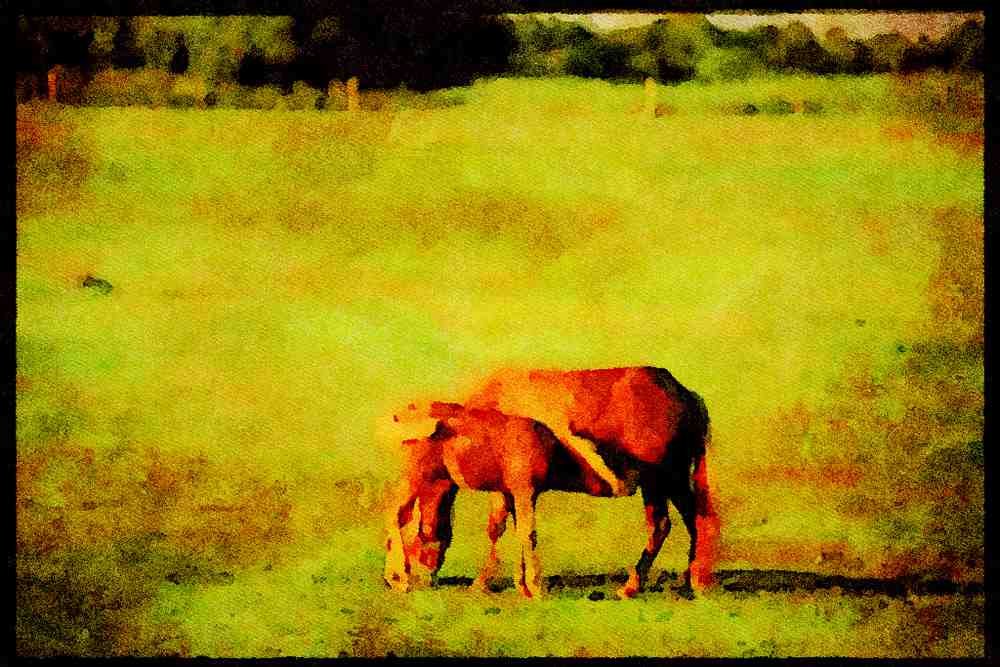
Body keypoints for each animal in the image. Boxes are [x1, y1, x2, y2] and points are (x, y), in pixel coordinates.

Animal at [387, 366, 719, 598]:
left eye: (416, 538)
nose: (424, 577)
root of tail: (686, 395)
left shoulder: (508, 487)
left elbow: (498, 529)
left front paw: (485, 583)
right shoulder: (511, 489)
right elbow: (510, 528)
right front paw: (519, 582)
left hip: (663, 480)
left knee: (673, 523)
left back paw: (645, 585)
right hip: (667, 482)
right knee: (686, 521)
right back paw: (685, 580)